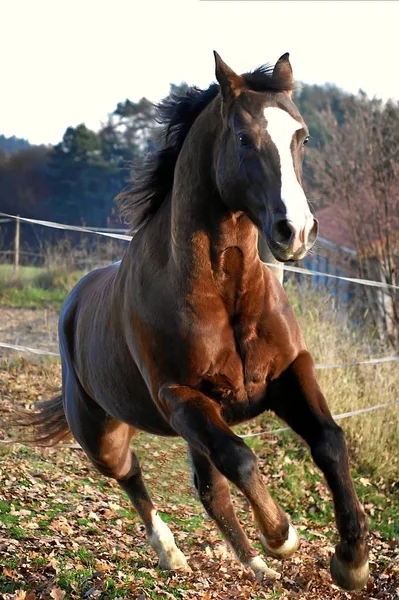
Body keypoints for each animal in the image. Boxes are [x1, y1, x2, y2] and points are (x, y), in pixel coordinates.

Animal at [5, 51, 368, 592]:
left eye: (301, 137)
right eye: (244, 138)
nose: (297, 231)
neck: (225, 293)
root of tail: (74, 302)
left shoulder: (287, 373)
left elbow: (328, 440)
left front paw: (351, 561)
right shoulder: (182, 397)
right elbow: (242, 458)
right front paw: (282, 535)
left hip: (191, 430)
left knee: (209, 489)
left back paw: (254, 567)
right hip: (108, 436)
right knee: (134, 474)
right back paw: (174, 554)